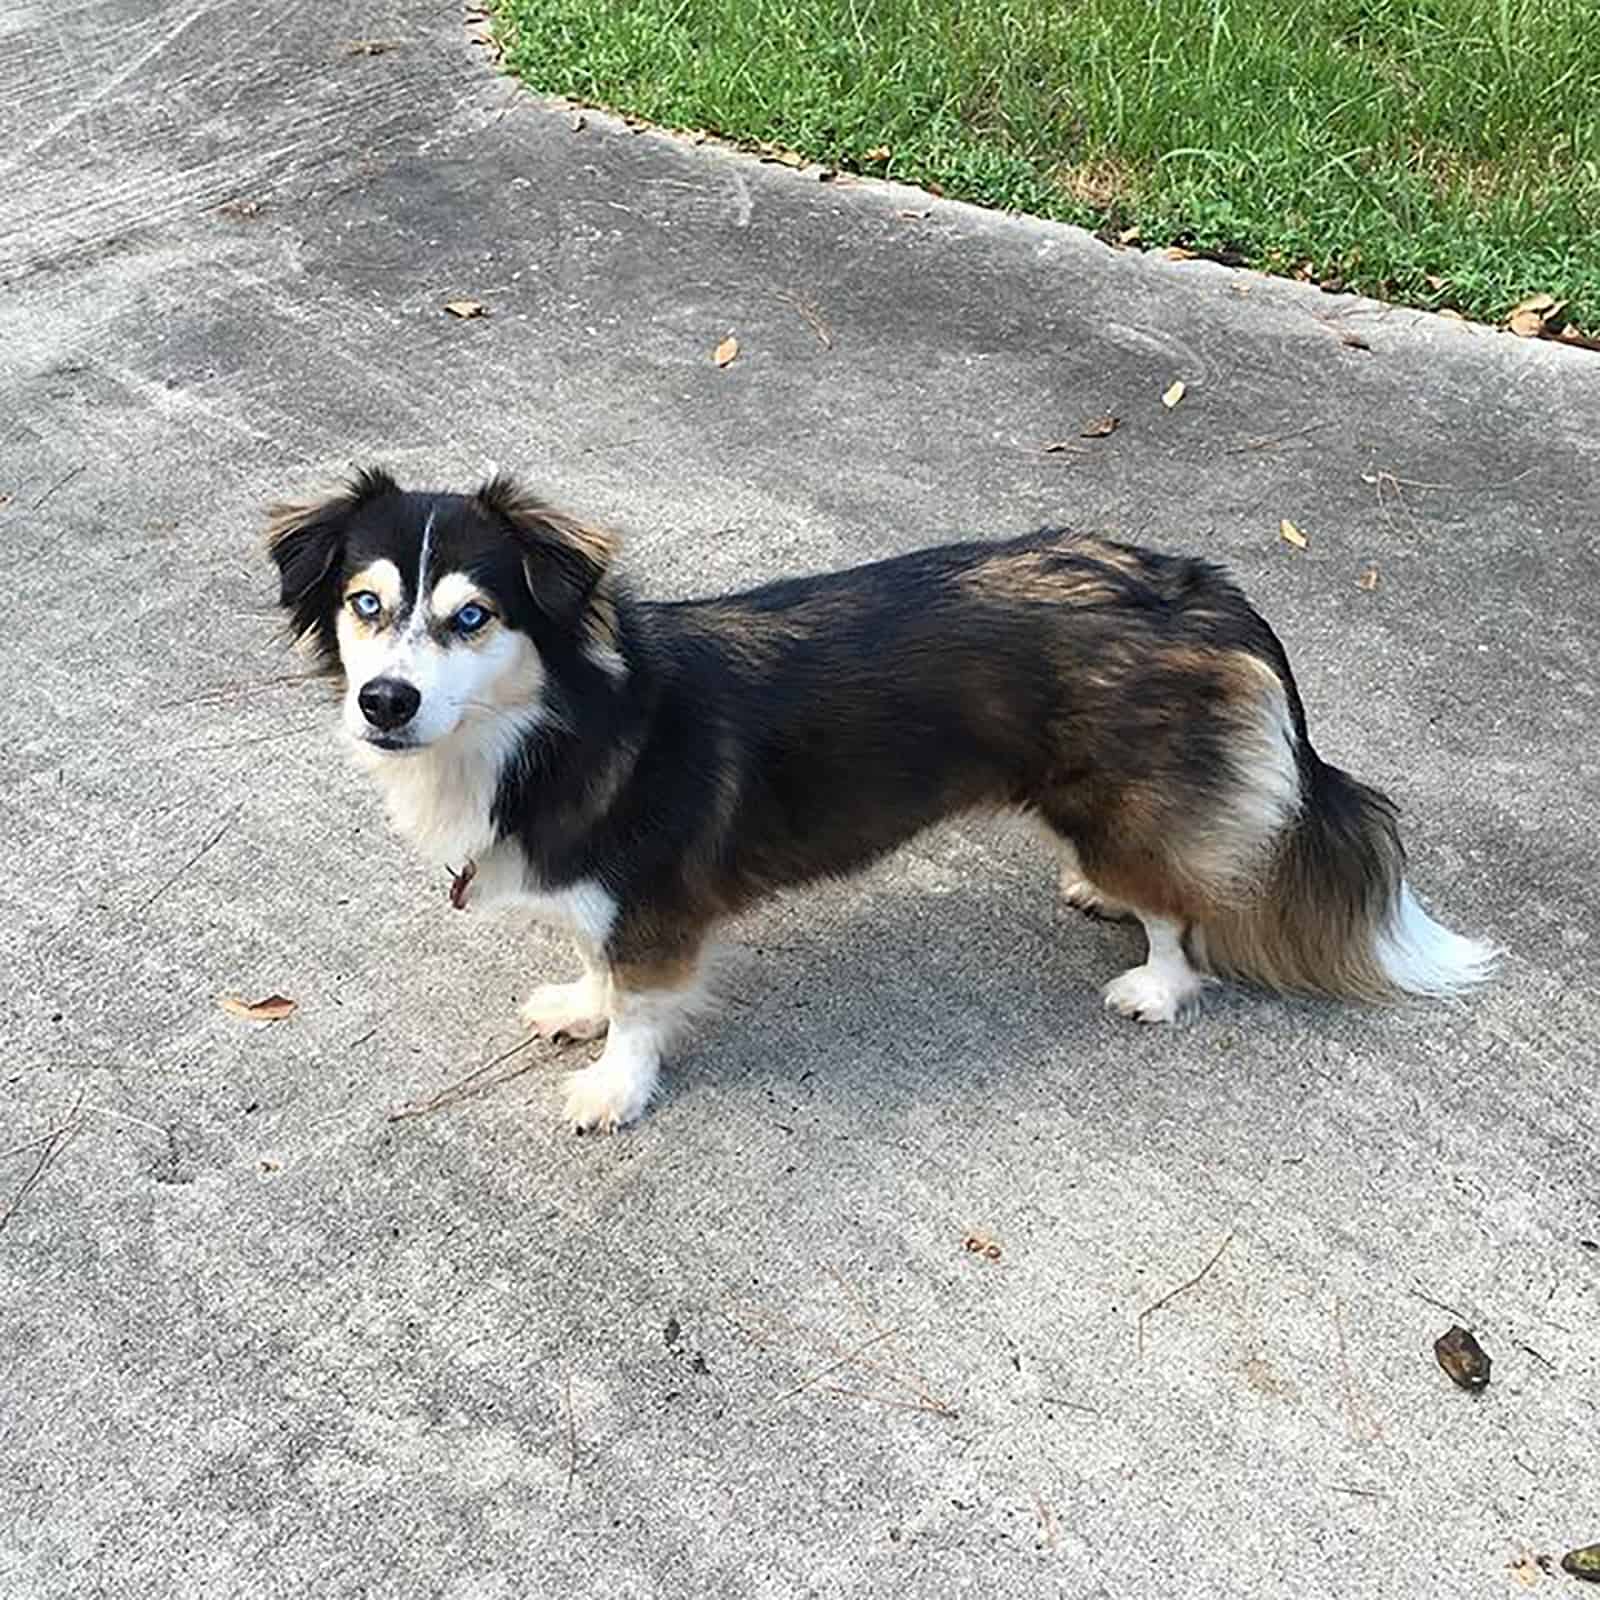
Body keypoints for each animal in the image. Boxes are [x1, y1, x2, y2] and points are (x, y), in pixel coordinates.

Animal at [265, 467, 1497, 1132]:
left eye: (473, 617)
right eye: (367, 604)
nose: (384, 702)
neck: (549, 724)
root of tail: (1205, 591)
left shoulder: (655, 912)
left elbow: (642, 1006)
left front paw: (612, 1084)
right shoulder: (604, 898)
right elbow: (595, 962)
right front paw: (576, 1003)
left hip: (1119, 806)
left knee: (1184, 904)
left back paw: (1154, 982)